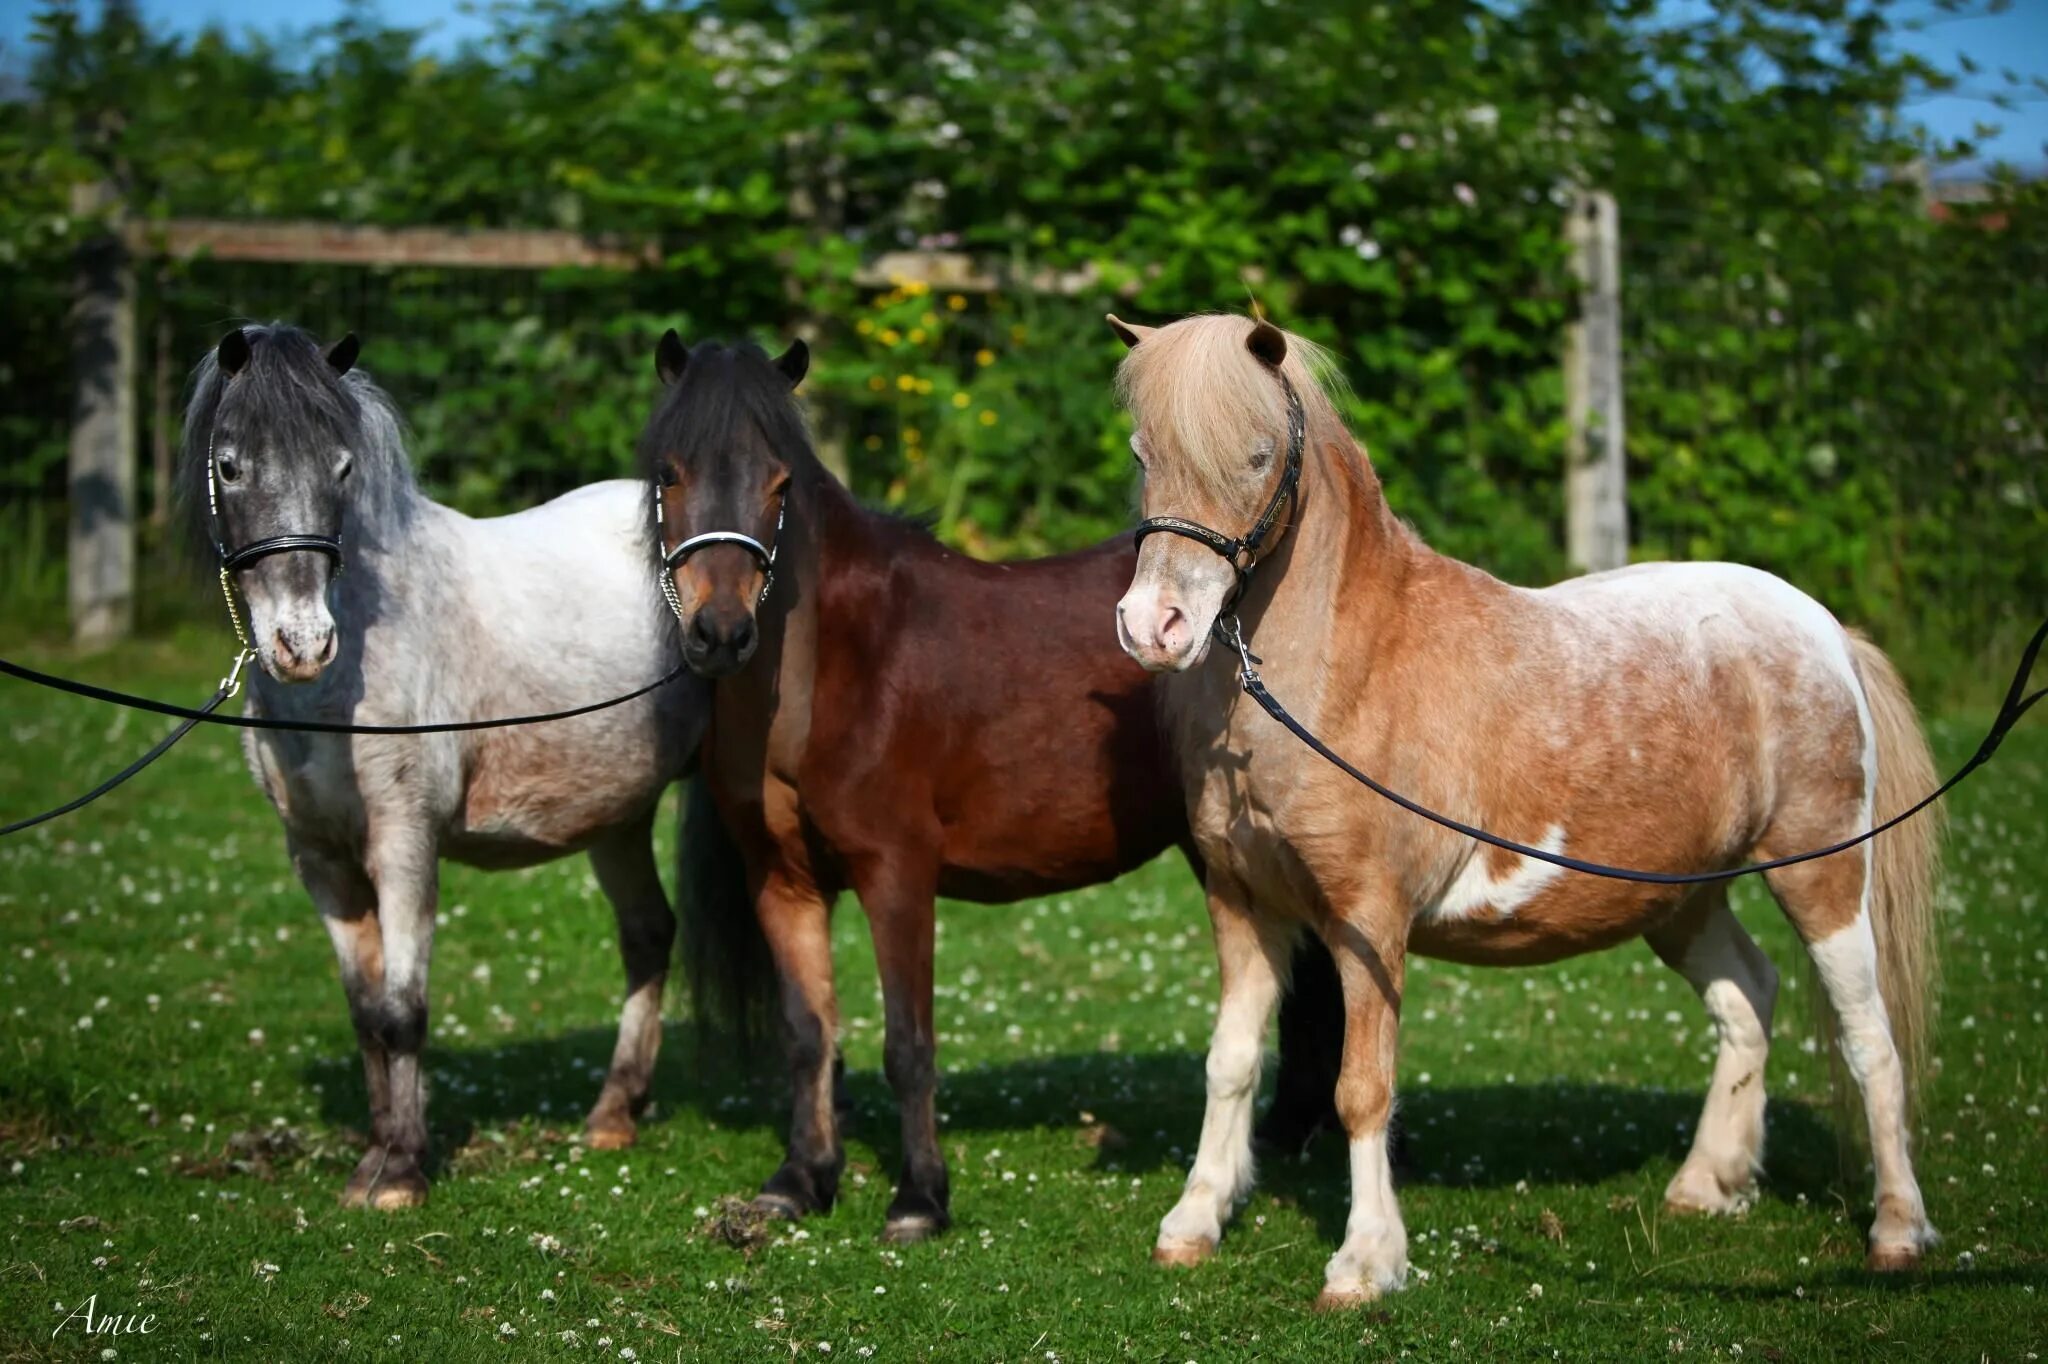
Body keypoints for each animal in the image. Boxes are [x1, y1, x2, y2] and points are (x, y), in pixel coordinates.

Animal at [180, 323, 704, 1204]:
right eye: (229, 465)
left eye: (341, 467)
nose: (301, 644)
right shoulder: (320, 859)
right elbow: (367, 1013)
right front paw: (377, 1157)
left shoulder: (404, 844)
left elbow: (403, 1009)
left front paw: (400, 1173)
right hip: (619, 814)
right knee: (648, 933)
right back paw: (613, 1114)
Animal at [643, 331, 1343, 1245]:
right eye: (668, 474)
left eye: (780, 483)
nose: (720, 633)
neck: (831, 668)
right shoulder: (782, 879)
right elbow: (808, 1033)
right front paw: (801, 1179)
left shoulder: (897, 872)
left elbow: (908, 1043)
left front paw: (919, 1198)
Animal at [1114, 311, 1941, 1310]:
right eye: (1142, 452)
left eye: (1258, 453)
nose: (1155, 627)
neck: (1348, 665)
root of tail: (1828, 631)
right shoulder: (1246, 907)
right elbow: (1230, 1063)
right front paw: (1193, 1223)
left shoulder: (1366, 923)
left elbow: (1363, 1089)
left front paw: (1365, 1261)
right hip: (1682, 897)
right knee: (1748, 997)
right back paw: (1708, 1184)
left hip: (1824, 874)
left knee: (1870, 1042)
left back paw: (1896, 1231)